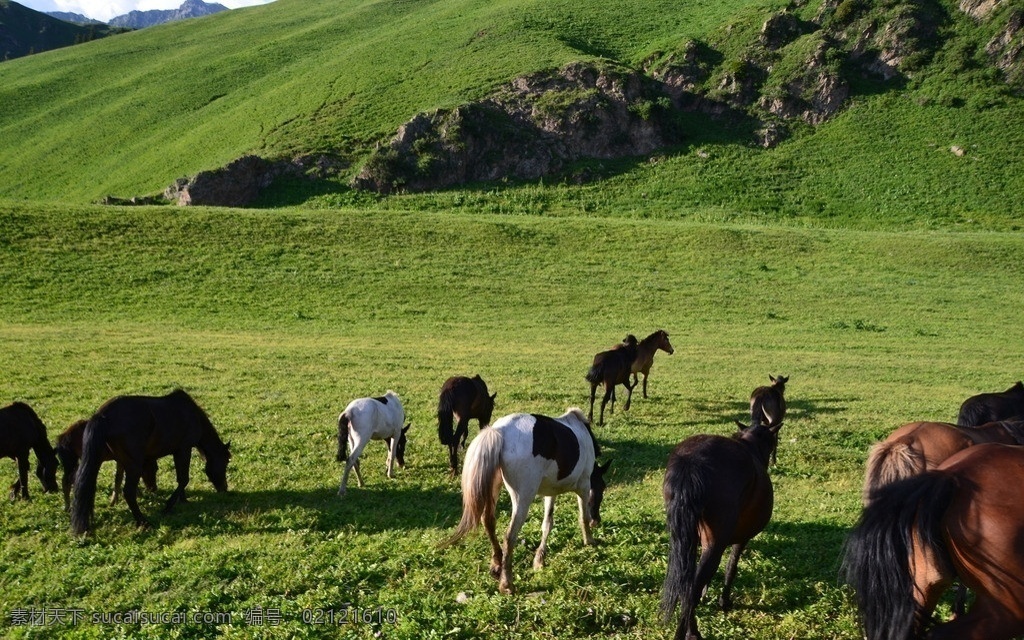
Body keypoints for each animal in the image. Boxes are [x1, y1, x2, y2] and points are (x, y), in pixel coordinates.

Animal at [70, 389, 231, 535]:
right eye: (226, 461)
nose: (224, 488)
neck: (192, 414)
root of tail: (103, 415)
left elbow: (180, 478)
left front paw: (183, 499)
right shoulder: (184, 449)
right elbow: (184, 479)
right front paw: (168, 506)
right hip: (134, 465)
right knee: (128, 492)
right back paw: (143, 522)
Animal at [441, 408, 611, 595]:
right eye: (602, 487)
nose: (597, 521)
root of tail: (499, 431)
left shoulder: (550, 492)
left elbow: (547, 524)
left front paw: (539, 559)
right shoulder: (584, 486)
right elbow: (583, 517)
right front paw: (589, 540)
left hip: (494, 488)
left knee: (489, 522)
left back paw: (497, 565)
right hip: (522, 499)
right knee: (509, 536)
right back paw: (507, 584)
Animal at [662, 419, 782, 640]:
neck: (749, 445)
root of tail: (692, 462)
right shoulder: (741, 539)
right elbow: (731, 567)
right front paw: (724, 601)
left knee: (687, 585)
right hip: (715, 544)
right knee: (691, 590)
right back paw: (690, 632)